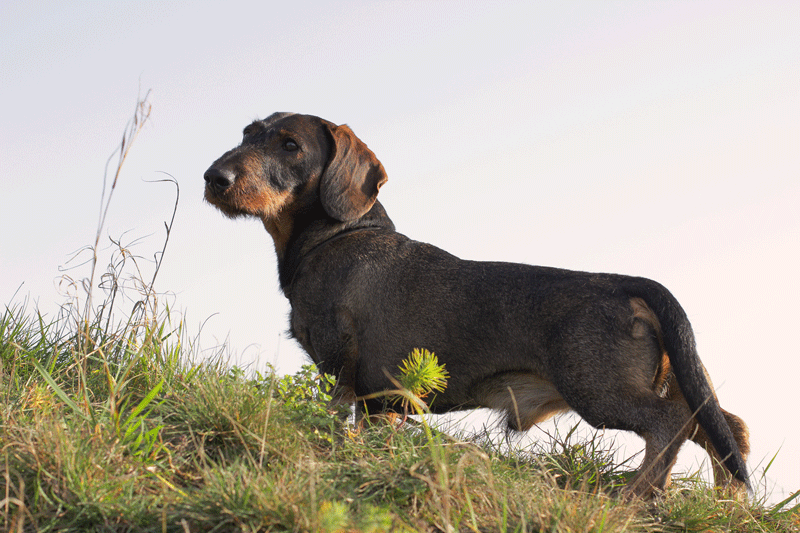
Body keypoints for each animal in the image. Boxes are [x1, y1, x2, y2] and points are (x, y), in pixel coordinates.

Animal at [205, 112, 752, 498]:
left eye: (291, 146)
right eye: (247, 134)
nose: (214, 177)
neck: (339, 235)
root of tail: (627, 285)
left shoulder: (344, 367)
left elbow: (337, 418)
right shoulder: (382, 397)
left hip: (599, 389)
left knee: (669, 426)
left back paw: (634, 497)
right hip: (673, 381)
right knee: (725, 429)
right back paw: (727, 505)